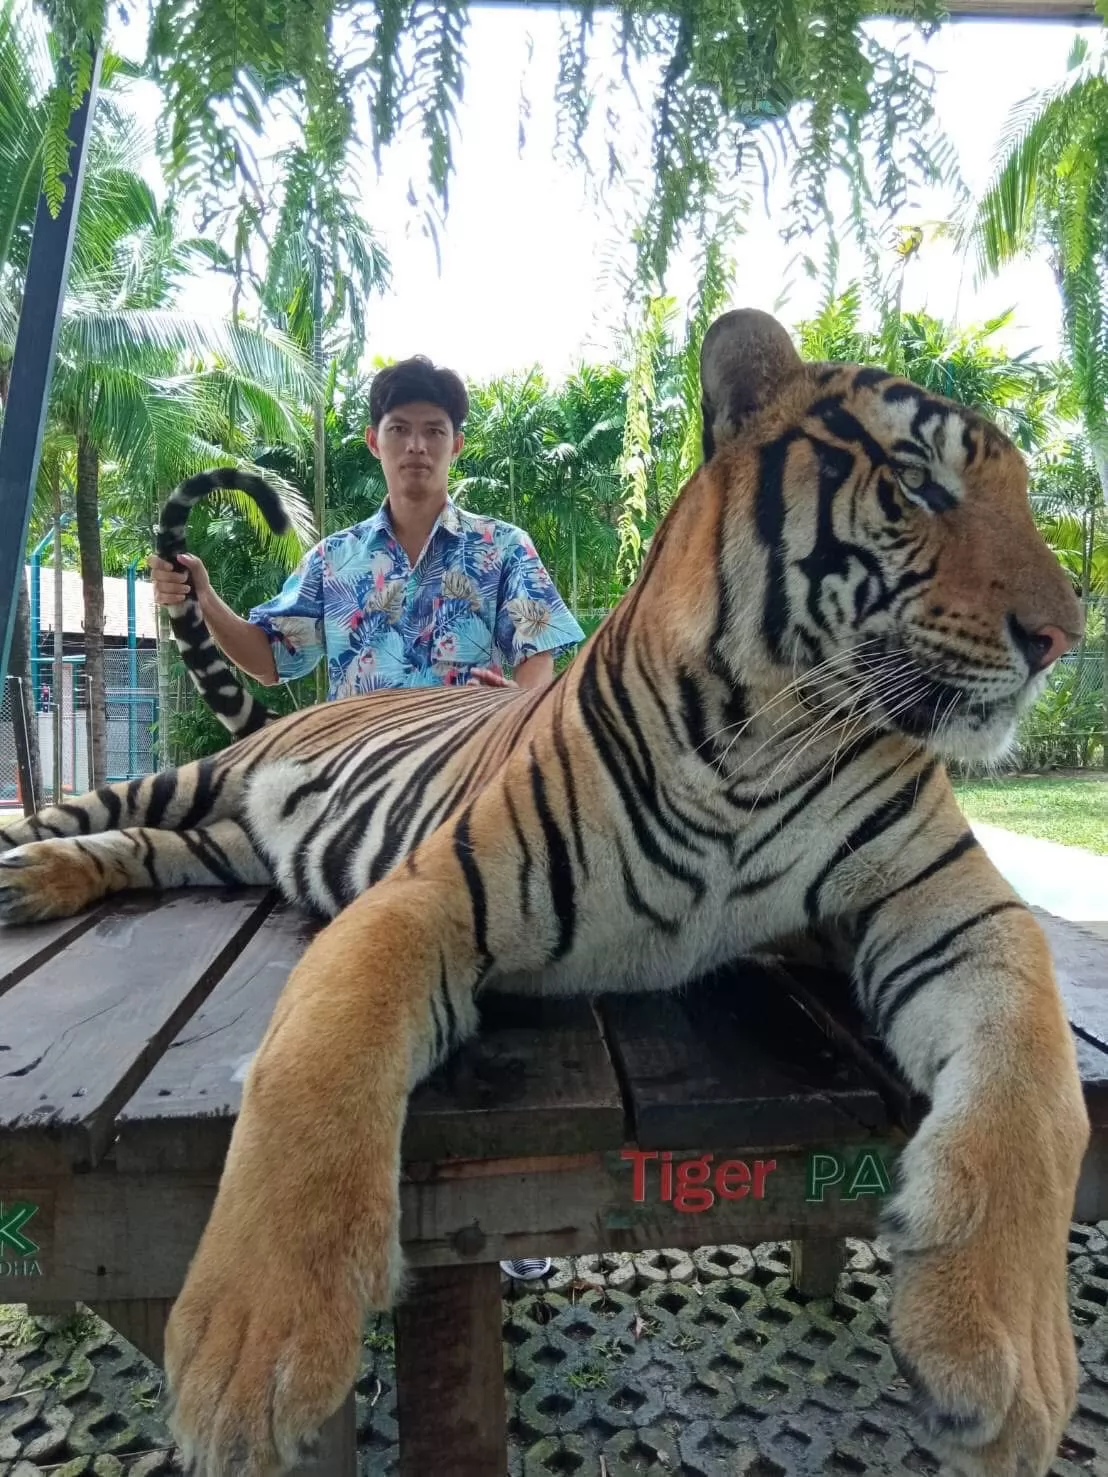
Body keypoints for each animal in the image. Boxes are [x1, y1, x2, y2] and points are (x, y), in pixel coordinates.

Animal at [0, 309, 1089, 1477]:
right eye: (918, 481)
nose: (1062, 638)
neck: (772, 735)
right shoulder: (432, 892)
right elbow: (315, 1067)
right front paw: (255, 1351)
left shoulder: (955, 909)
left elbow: (1038, 1094)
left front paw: (1010, 1356)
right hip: (191, 776)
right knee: (94, 810)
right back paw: (23, 860)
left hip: (220, 843)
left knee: (146, 846)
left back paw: (41, 882)